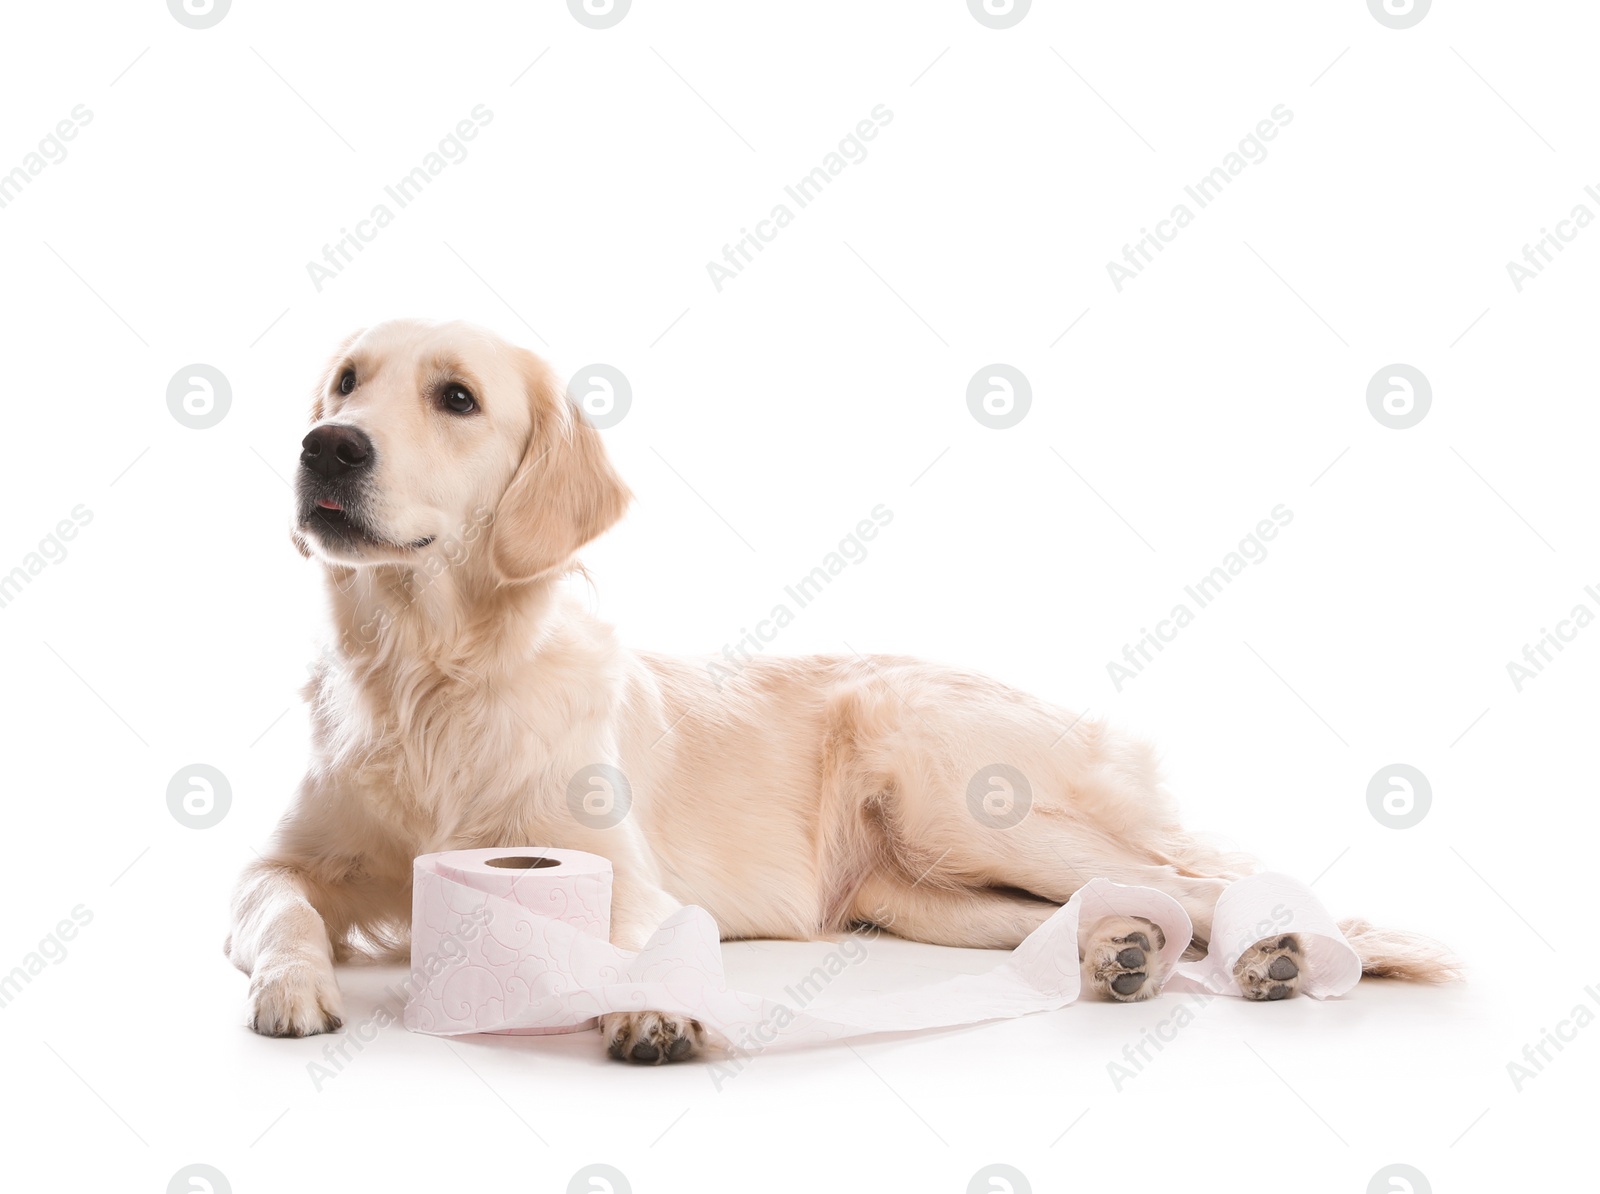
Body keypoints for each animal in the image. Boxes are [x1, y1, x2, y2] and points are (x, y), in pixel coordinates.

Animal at [228, 316, 1465, 1062]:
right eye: (346, 381)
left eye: (456, 398)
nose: (327, 447)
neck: (430, 668)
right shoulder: (279, 861)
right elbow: (280, 907)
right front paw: (291, 986)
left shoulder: (615, 871)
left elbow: (636, 939)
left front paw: (655, 1004)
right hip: (911, 890)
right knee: (1096, 907)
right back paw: (1117, 953)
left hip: (950, 788)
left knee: (1196, 882)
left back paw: (1273, 951)